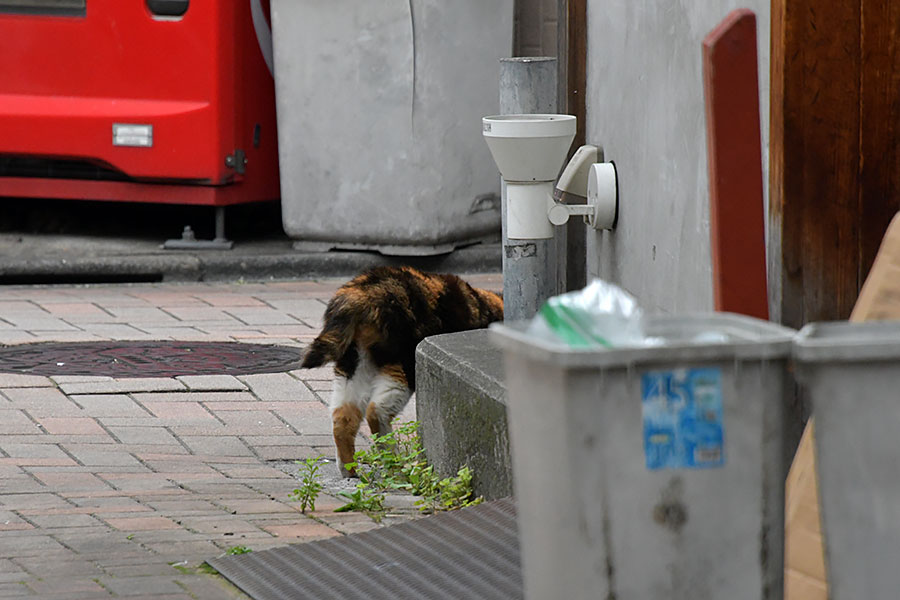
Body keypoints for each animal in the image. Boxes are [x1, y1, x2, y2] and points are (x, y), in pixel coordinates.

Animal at [300, 264, 500, 476]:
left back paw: (350, 470)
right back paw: (394, 463)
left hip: (356, 363)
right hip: (403, 362)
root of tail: (360, 291)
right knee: (376, 410)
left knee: (343, 415)